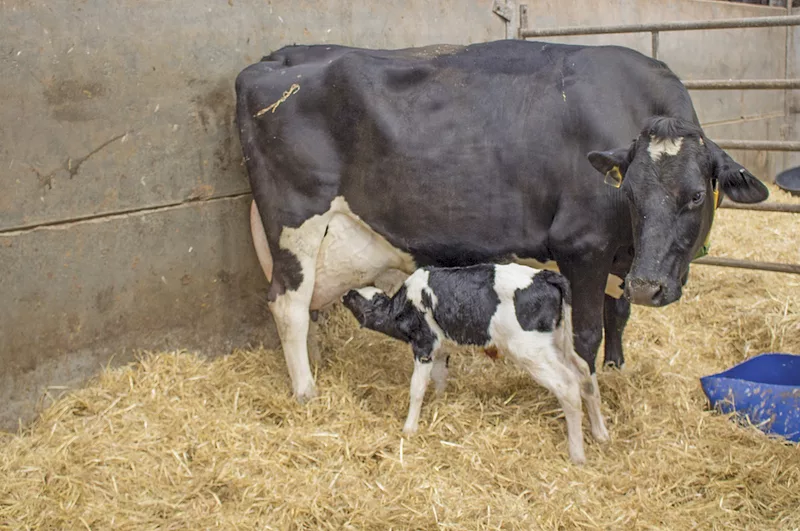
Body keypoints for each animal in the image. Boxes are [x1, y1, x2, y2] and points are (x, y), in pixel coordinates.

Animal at [235, 40, 769, 403]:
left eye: (696, 195)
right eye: (631, 194)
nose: (649, 287)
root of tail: (278, 57)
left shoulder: (622, 258)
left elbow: (618, 315)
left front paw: (618, 368)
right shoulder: (583, 247)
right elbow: (586, 335)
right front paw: (589, 393)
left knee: (306, 309)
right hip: (295, 220)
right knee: (288, 304)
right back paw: (306, 391)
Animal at [341, 263, 609, 464]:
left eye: (356, 297)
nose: (345, 293)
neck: (404, 305)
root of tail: (546, 275)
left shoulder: (424, 345)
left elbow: (417, 388)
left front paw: (409, 429)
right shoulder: (441, 349)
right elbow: (440, 378)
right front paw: (440, 403)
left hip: (530, 349)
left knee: (568, 385)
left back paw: (577, 455)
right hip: (558, 341)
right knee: (584, 373)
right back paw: (600, 433)